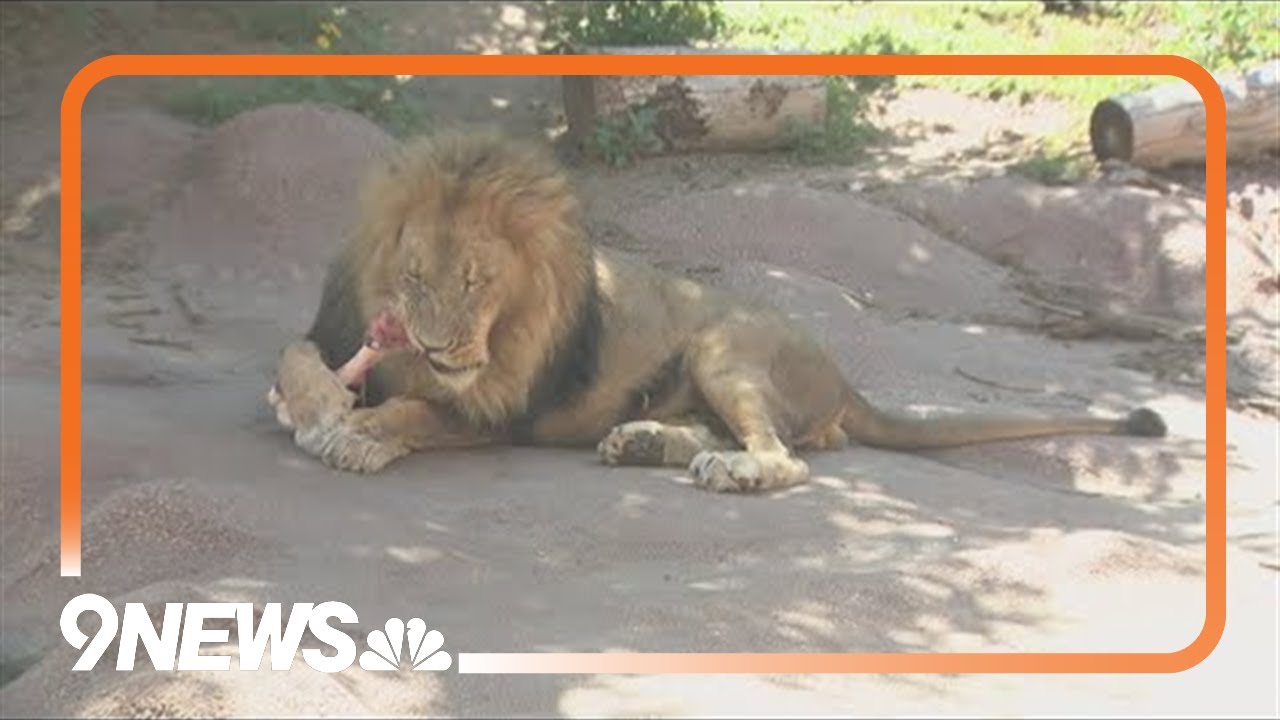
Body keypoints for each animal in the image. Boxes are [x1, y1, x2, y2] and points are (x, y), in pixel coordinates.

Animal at [267, 129, 1167, 493]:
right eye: (414, 277)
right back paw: (643, 442)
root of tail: (844, 379)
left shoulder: (500, 412)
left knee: (787, 458)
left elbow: (421, 411)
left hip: (725, 345)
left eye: (476, 281)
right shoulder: (338, 331)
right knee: (738, 436)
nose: (433, 345)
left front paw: (358, 435)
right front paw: (317, 404)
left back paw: (729, 471)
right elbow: (295, 355)